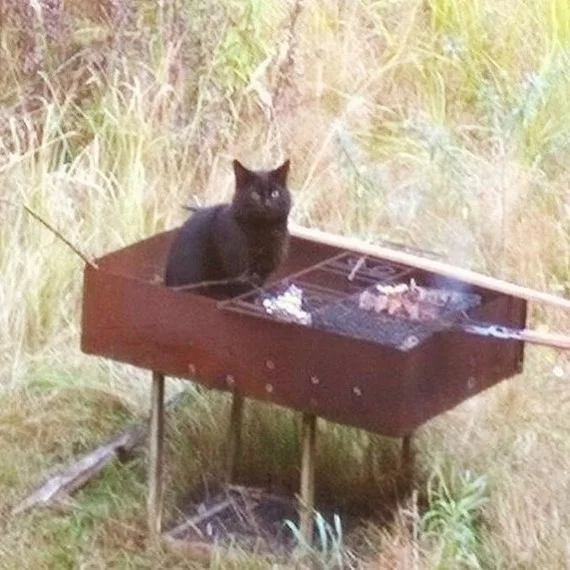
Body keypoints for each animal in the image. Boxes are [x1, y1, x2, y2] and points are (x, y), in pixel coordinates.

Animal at [162, 158, 290, 296]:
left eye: (275, 194)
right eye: (254, 194)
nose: (267, 203)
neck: (263, 230)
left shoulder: (261, 274)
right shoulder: (240, 275)